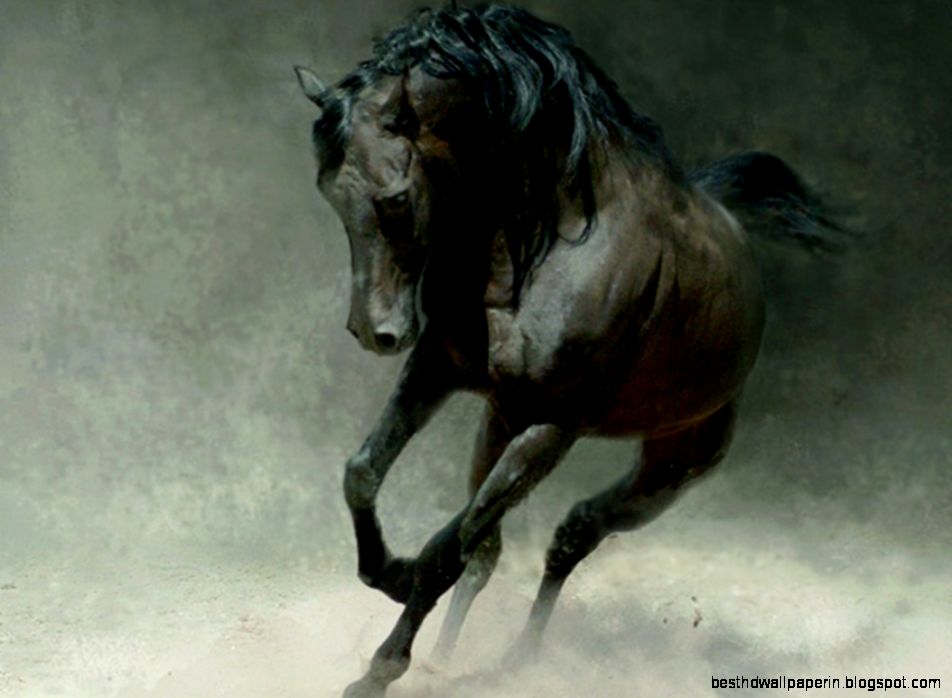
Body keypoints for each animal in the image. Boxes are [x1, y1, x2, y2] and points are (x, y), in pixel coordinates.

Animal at [294, 5, 842, 696]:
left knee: (572, 534)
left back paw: (521, 660)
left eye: (394, 197)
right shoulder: (439, 368)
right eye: (327, 191)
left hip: (672, 465)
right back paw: (453, 657)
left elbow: (449, 547)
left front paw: (379, 667)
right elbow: (364, 473)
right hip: (499, 423)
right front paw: (388, 573)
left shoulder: (554, 426)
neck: (546, 242)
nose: (375, 332)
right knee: (496, 552)